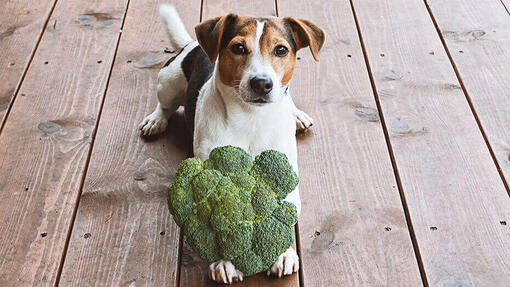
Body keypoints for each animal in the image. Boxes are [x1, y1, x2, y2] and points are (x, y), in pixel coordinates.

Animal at [137, 5, 324, 286]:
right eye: (238, 48)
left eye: (281, 50)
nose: (262, 83)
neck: (251, 117)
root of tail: (192, 44)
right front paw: (224, 261)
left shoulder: (285, 173)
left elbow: (286, 211)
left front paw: (283, 253)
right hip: (168, 82)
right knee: (165, 105)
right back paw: (156, 119)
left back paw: (297, 115)